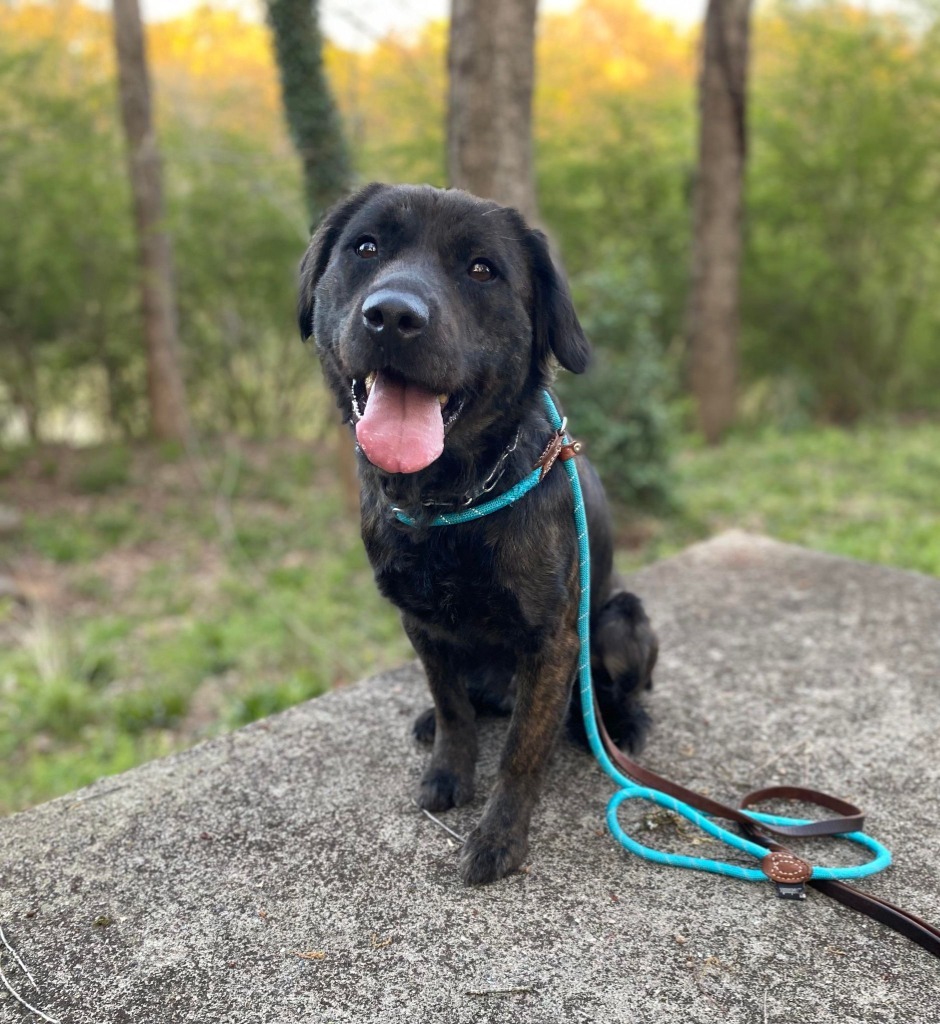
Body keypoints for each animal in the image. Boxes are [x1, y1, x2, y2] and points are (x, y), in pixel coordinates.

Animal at [298, 186, 659, 888]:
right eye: (366, 247)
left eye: (482, 269)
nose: (392, 316)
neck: (448, 502)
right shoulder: (420, 623)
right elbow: (453, 709)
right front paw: (446, 769)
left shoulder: (552, 641)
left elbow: (521, 751)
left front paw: (499, 837)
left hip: (619, 621)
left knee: (610, 690)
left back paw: (619, 723)